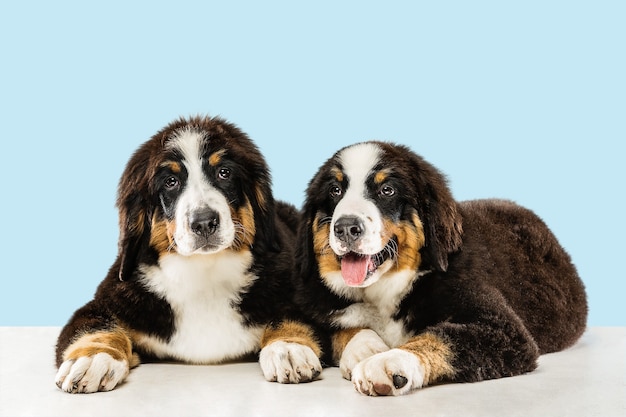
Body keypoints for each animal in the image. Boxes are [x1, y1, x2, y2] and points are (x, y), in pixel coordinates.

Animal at [53, 115, 320, 392]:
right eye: (171, 182)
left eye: (224, 173)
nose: (204, 222)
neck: (203, 272)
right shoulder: (107, 301)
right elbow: (95, 325)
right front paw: (93, 357)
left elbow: (289, 317)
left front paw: (288, 349)